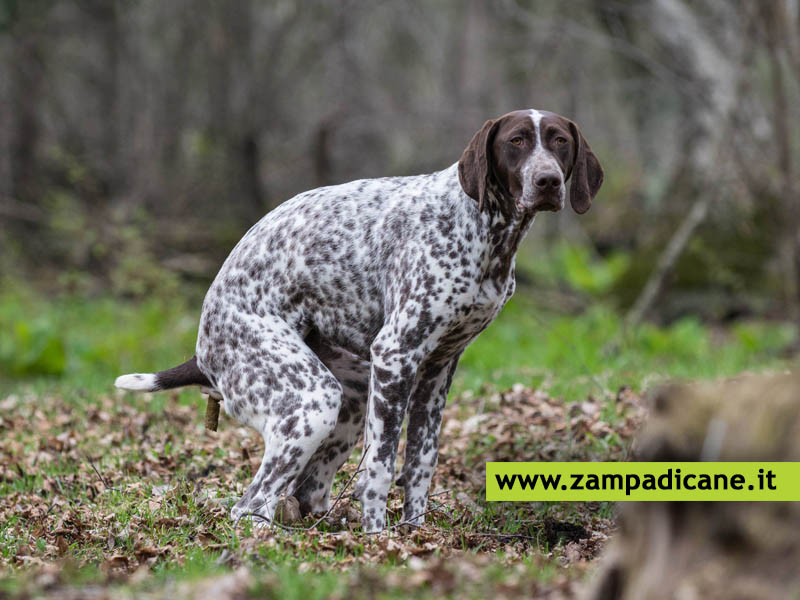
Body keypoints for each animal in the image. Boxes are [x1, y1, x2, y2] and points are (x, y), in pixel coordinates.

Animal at [112, 110, 600, 532]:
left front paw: (415, 535)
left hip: (353, 396)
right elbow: (380, 468)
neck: (483, 230)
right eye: (516, 141)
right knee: (251, 504)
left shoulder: (437, 370)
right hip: (311, 401)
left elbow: (420, 465)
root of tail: (202, 347)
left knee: (305, 492)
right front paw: (378, 540)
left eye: (559, 141)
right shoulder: (396, 356)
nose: (547, 181)